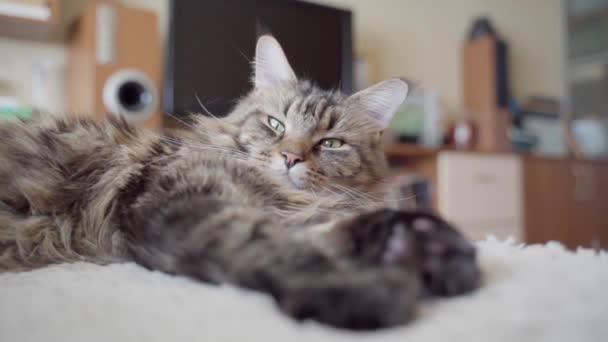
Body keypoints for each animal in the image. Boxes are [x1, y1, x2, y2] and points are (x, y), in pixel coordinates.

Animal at [0, 34, 480, 328]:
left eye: (330, 143)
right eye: (275, 124)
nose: (290, 157)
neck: (281, 196)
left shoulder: (297, 213)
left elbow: (350, 226)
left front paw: (436, 249)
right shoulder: (186, 203)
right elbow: (273, 246)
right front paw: (365, 290)